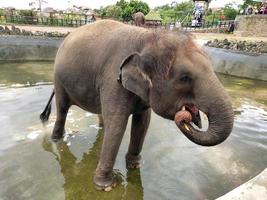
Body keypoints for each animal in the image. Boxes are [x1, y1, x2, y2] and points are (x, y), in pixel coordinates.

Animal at [40, 19, 234, 191]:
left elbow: (142, 122)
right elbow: (118, 124)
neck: (147, 38)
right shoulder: (113, 78)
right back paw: (56, 139)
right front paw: (105, 186)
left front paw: (135, 166)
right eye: (184, 78)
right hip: (59, 78)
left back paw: (100, 129)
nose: (185, 116)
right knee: (62, 109)